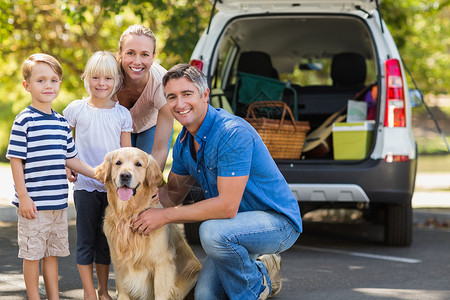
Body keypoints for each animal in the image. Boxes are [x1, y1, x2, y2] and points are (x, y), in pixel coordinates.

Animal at [96, 148, 201, 300]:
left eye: (138, 164)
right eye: (118, 163)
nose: (125, 175)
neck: (128, 214)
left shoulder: (161, 263)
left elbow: (161, 293)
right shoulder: (119, 264)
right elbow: (123, 292)